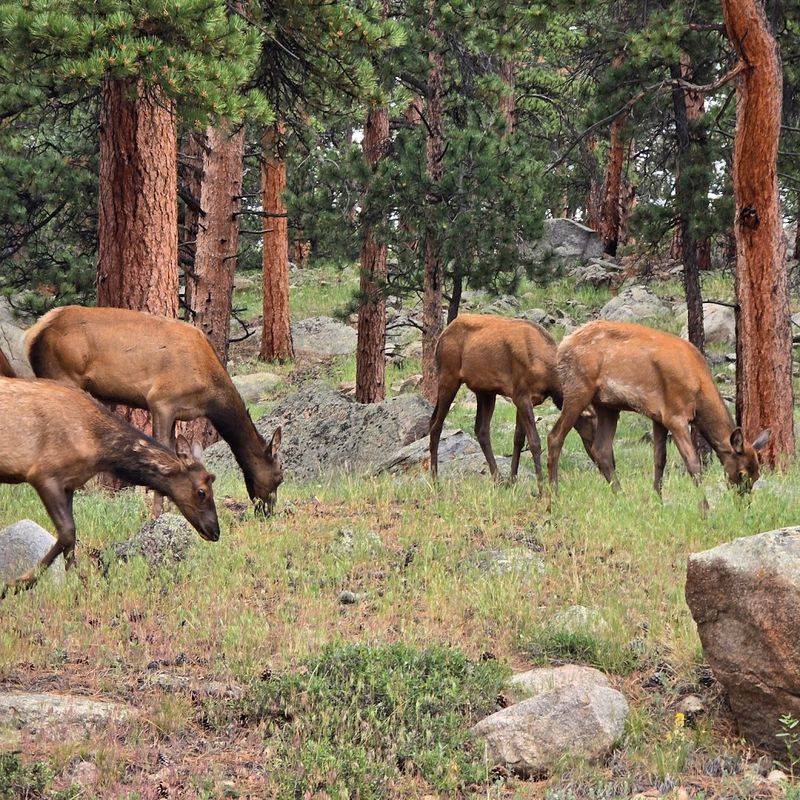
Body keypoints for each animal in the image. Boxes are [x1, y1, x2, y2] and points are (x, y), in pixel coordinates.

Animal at [0, 376, 220, 596]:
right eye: (202, 492)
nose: (215, 531)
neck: (99, 449)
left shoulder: (69, 484)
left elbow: (70, 541)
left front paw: (78, 586)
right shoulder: (44, 474)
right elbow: (67, 533)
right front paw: (17, 584)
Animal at [24, 306, 283, 516]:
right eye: (280, 477)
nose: (268, 512)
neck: (209, 392)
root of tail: (32, 335)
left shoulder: (177, 412)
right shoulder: (161, 400)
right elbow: (164, 452)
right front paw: (157, 512)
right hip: (62, 374)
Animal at [429, 314, 598, 490]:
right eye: (595, 425)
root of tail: (442, 335)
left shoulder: (526, 399)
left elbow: (518, 439)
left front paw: (512, 479)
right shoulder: (521, 395)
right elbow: (534, 441)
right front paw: (540, 487)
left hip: (485, 391)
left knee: (481, 430)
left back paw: (498, 479)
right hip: (448, 377)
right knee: (436, 425)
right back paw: (435, 480)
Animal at [547, 320, 770, 496]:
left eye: (757, 474)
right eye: (742, 473)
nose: (743, 503)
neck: (698, 389)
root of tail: (562, 346)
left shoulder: (659, 417)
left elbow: (659, 460)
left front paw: (658, 499)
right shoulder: (675, 415)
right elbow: (693, 464)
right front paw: (704, 510)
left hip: (607, 406)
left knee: (601, 449)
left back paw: (621, 496)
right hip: (578, 389)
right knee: (555, 436)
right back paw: (554, 494)